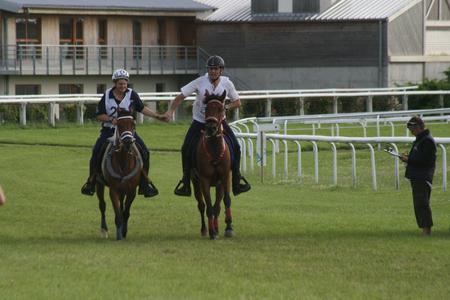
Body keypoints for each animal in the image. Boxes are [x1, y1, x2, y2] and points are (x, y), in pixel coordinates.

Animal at [96, 109, 142, 240]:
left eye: (133, 124)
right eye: (119, 125)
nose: (127, 142)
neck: (123, 161)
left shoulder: (132, 190)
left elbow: (125, 212)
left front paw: (124, 232)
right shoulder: (114, 190)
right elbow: (117, 214)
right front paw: (119, 235)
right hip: (99, 184)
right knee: (102, 205)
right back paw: (104, 230)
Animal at [192, 90, 236, 240]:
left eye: (221, 109)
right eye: (206, 109)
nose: (211, 128)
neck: (215, 150)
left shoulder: (225, 177)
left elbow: (225, 201)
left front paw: (228, 227)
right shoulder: (204, 180)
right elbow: (208, 205)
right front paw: (211, 232)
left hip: (218, 184)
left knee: (217, 205)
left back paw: (216, 228)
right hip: (195, 182)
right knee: (201, 205)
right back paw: (205, 229)